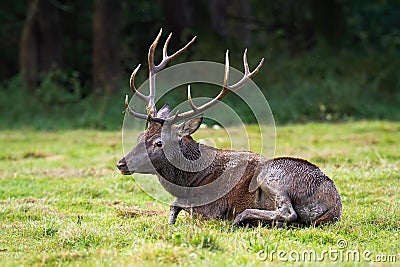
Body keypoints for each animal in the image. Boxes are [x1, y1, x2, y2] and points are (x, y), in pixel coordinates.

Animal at [117, 28, 342, 227]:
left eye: (159, 143)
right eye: (139, 136)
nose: (121, 163)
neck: (191, 181)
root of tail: (334, 206)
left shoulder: (213, 206)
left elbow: (176, 205)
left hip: (273, 174)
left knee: (288, 212)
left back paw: (241, 218)